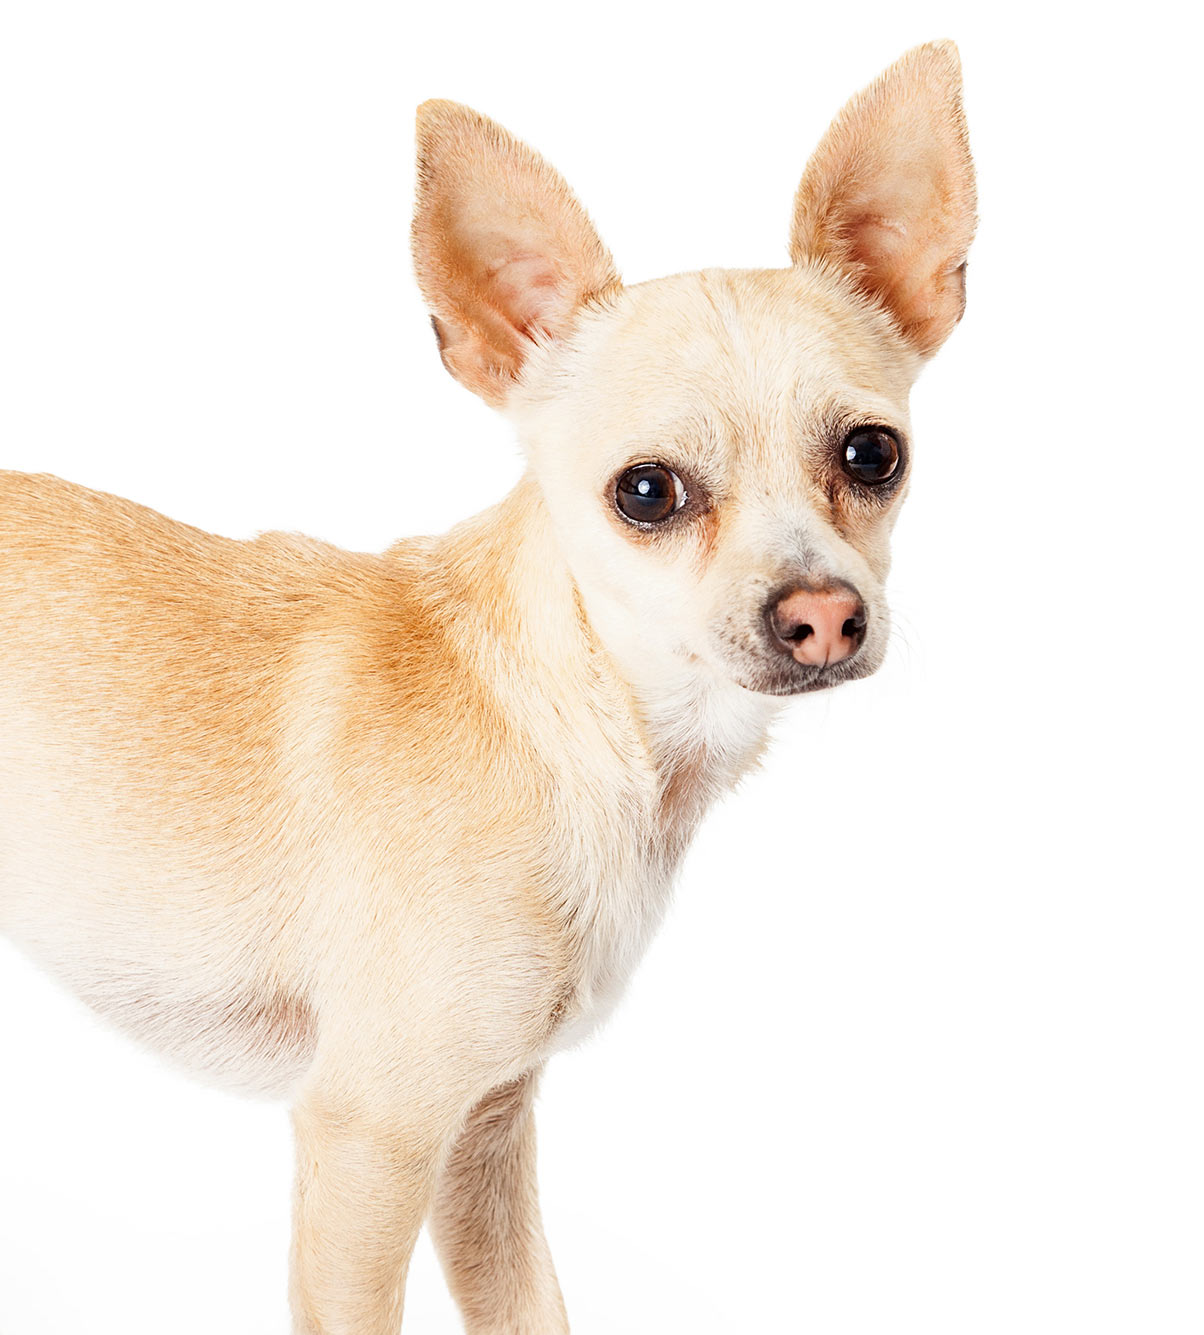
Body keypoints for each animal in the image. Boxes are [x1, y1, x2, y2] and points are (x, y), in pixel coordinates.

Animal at [0, 39, 982, 1335]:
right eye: (646, 493)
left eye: (874, 456)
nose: (822, 613)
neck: (581, 733)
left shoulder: (484, 1135)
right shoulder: (369, 1142)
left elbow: (529, 1310)